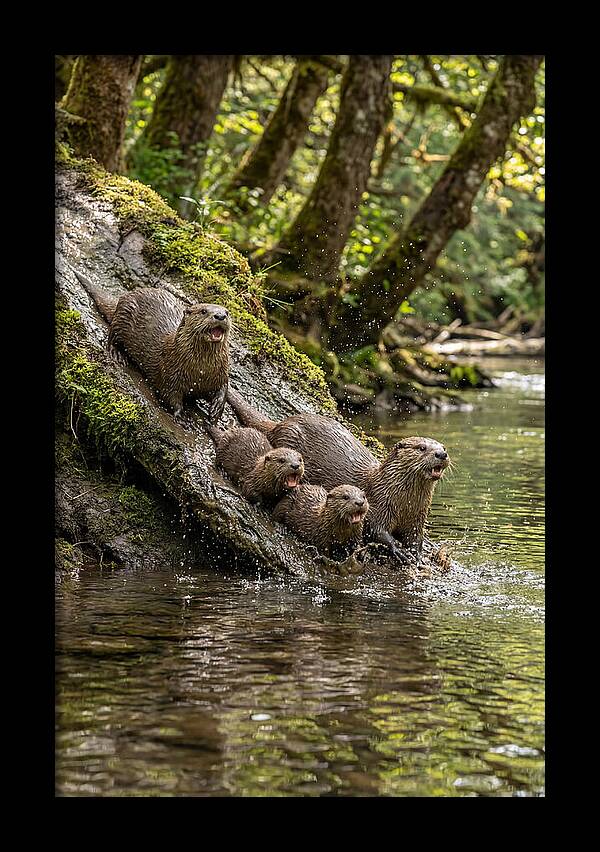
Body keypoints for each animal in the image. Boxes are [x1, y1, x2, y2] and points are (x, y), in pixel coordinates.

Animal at [75, 270, 231, 423]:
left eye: (227, 312)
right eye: (203, 311)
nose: (220, 315)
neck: (200, 371)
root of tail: (127, 295)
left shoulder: (220, 372)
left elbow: (224, 387)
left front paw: (217, 408)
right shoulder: (170, 373)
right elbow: (170, 395)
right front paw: (182, 415)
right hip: (123, 316)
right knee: (112, 335)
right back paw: (117, 354)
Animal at [226, 388, 450, 559]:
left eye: (443, 446)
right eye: (422, 448)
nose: (441, 453)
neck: (405, 503)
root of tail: (280, 424)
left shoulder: (417, 518)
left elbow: (416, 538)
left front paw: (417, 554)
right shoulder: (379, 506)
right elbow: (377, 530)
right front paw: (398, 549)